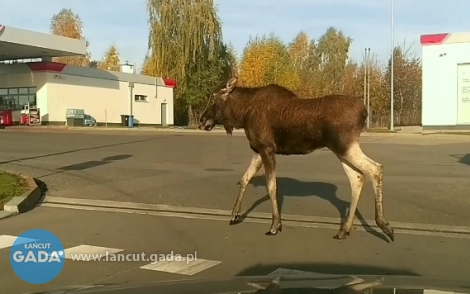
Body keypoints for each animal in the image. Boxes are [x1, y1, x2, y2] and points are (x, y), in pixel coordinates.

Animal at [196, 77, 394, 242]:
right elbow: (245, 178)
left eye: (213, 99)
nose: (201, 120)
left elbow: (271, 186)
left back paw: (384, 226)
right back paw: (344, 230)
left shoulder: (267, 148)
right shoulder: (258, 150)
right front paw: (234, 215)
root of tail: (365, 112)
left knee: (375, 169)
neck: (243, 114)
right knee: (357, 177)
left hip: (345, 146)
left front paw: (275, 225)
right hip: (341, 150)